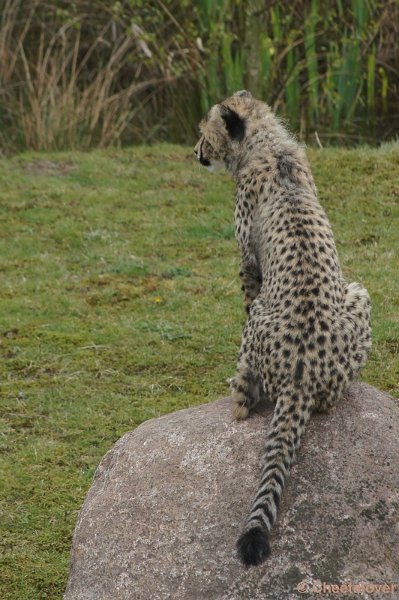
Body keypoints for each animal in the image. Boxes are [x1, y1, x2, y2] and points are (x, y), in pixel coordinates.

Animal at [195, 90, 374, 568]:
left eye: (204, 133)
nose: (195, 152)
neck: (268, 144)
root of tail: (302, 374)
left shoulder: (248, 265)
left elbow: (243, 298)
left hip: (299, 307)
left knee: (246, 398)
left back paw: (235, 397)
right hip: (357, 294)